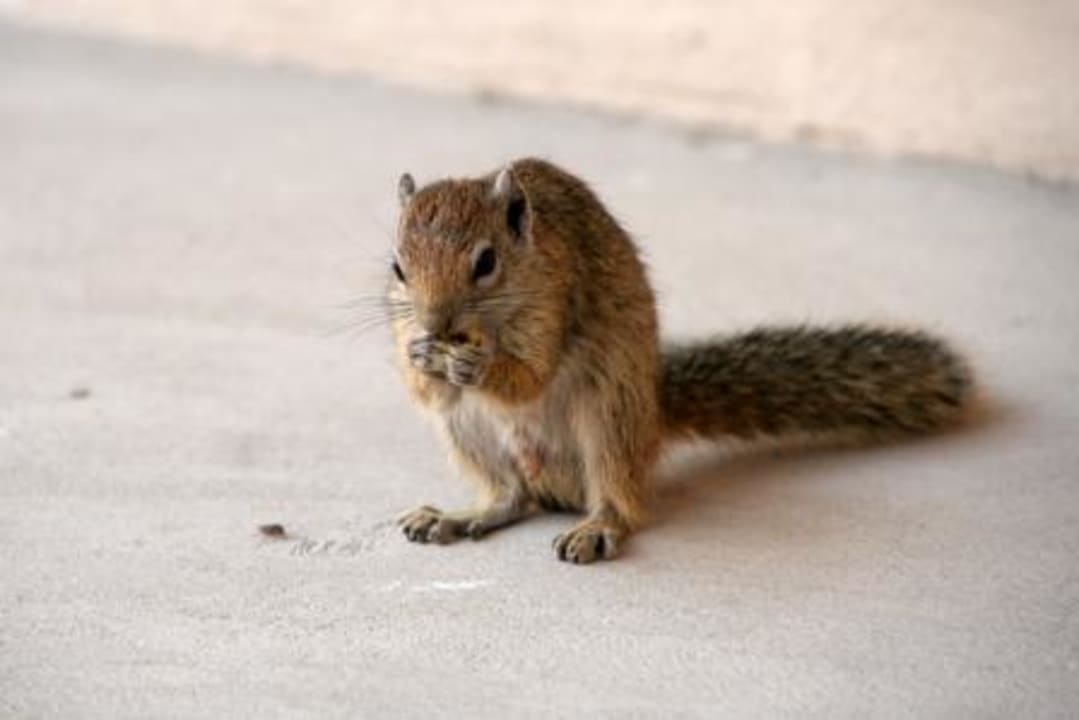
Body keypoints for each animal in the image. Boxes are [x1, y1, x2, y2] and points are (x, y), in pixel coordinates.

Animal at [387, 158, 972, 564]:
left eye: (486, 262)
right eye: (397, 266)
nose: (435, 323)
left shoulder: (554, 300)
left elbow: (531, 377)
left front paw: (479, 366)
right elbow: (426, 389)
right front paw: (421, 357)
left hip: (610, 418)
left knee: (617, 500)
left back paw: (596, 527)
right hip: (468, 431)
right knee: (513, 497)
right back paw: (459, 516)